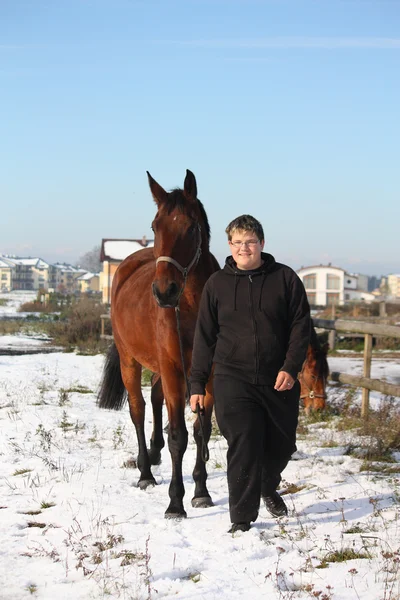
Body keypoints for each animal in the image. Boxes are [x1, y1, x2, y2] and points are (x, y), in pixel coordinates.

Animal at [98, 170, 220, 520]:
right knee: (138, 410)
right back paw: (145, 472)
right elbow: (179, 434)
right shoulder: (174, 369)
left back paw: (153, 454)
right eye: (155, 226)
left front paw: (201, 491)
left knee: (153, 399)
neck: (192, 308)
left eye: (191, 227)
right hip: (131, 360)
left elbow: (202, 431)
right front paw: (176, 503)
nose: (165, 291)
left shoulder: (208, 374)